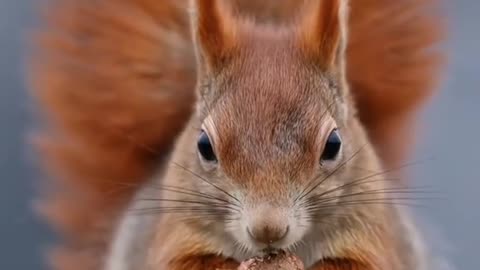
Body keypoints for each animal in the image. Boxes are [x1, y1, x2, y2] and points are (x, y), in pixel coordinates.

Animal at [28, 0, 444, 270]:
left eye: (333, 144)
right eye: (204, 146)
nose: (267, 228)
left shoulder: (374, 232)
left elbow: (365, 263)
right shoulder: (174, 232)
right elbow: (182, 262)